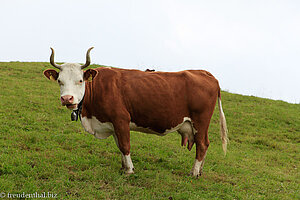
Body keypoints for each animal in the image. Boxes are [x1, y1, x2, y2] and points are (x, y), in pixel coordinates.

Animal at [43, 47, 229, 177]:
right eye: (59, 81)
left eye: (80, 80)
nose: (67, 99)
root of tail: (206, 73)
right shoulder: (112, 124)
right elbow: (119, 146)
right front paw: (123, 167)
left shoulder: (121, 119)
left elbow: (125, 145)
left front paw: (130, 170)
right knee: (204, 144)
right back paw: (200, 171)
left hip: (200, 121)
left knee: (202, 144)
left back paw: (193, 173)